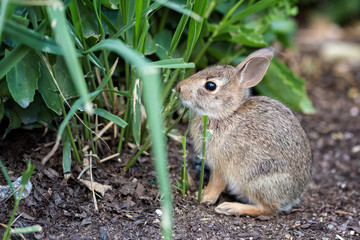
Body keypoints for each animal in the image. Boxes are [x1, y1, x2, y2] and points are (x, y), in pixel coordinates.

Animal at [176, 48, 310, 216]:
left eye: (210, 85)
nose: (179, 87)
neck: (227, 113)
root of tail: (292, 197)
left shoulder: (221, 164)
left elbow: (216, 183)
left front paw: (205, 198)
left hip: (256, 178)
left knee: (268, 209)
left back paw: (230, 207)